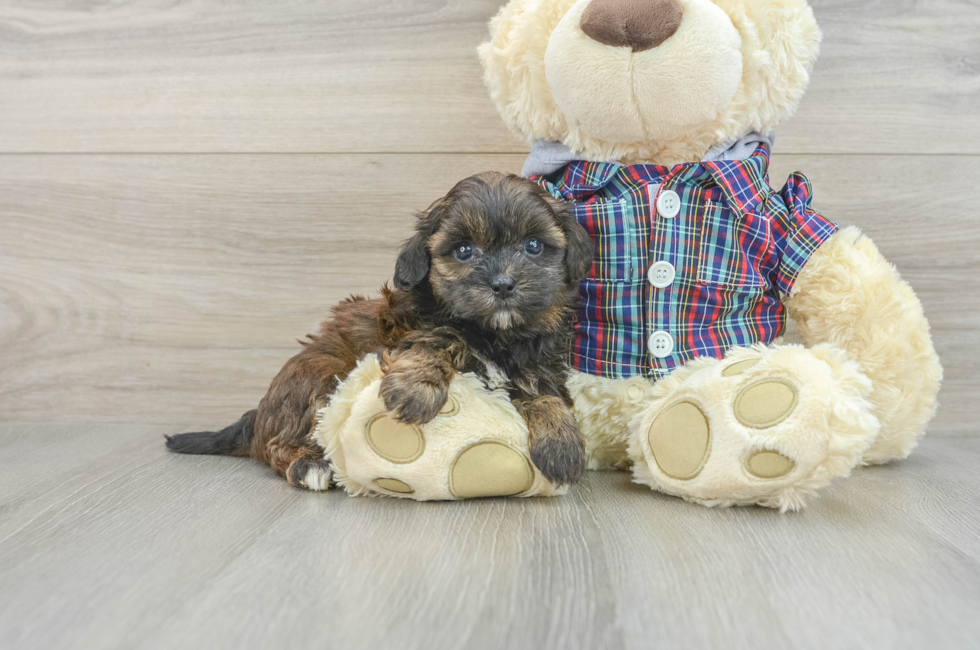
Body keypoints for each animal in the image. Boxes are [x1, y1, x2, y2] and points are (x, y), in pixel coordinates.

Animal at [166, 173, 592, 492]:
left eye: (533, 245)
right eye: (464, 250)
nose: (502, 284)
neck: (495, 335)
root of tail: (260, 413)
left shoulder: (540, 365)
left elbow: (547, 395)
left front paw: (562, 443)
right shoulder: (415, 331)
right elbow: (435, 342)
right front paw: (415, 391)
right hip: (320, 378)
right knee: (276, 446)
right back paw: (309, 467)